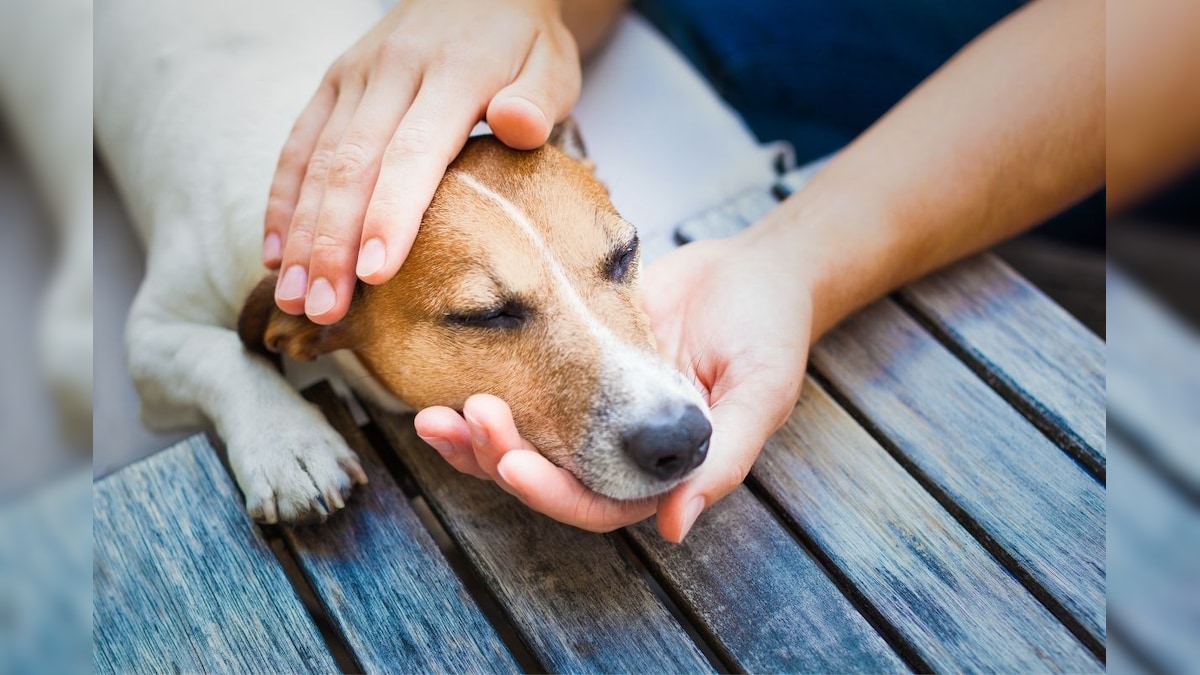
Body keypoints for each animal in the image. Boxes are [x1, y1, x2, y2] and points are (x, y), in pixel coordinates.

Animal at [100, 0, 710, 523]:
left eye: (625, 255)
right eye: (485, 316)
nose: (681, 438)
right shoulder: (150, 337)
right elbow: (222, 354)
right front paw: (287, 443)